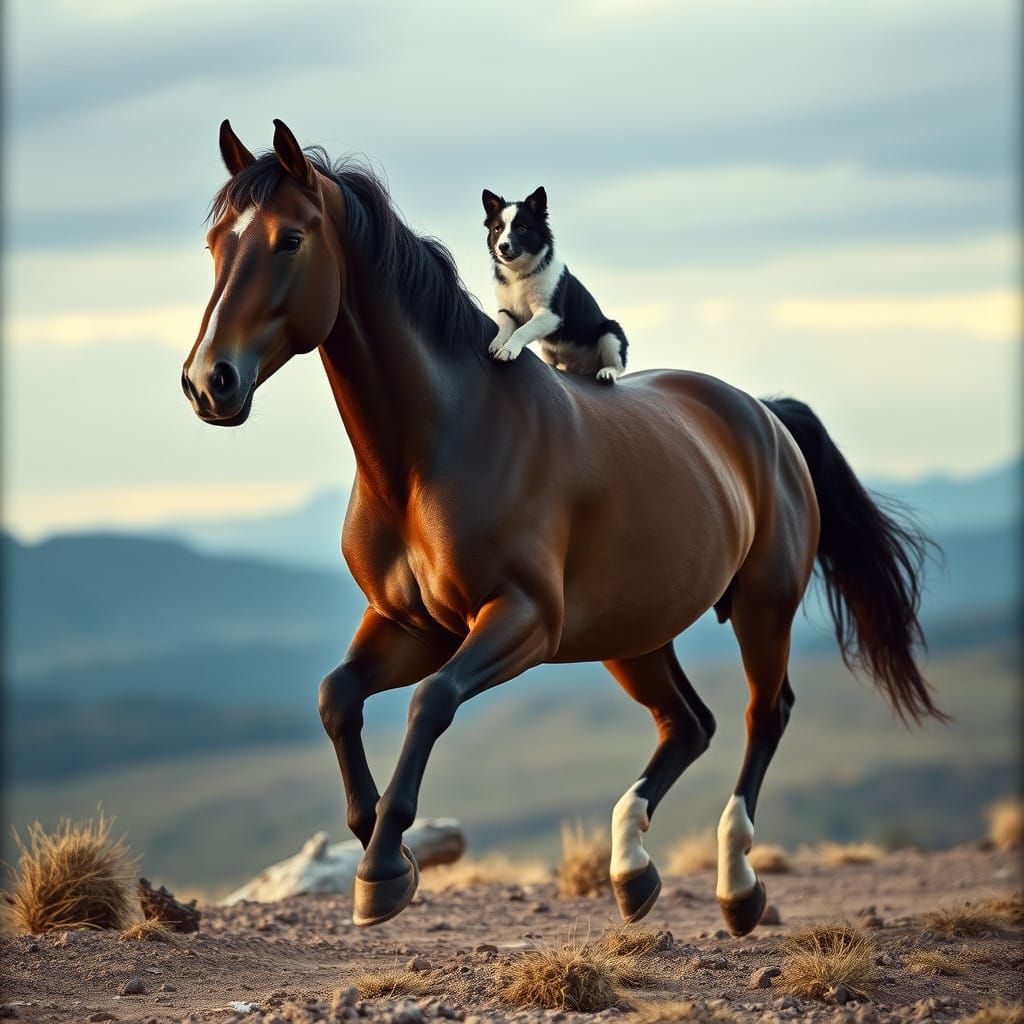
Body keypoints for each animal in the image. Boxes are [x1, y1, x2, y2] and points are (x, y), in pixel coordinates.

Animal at [182, 119, 944, 931]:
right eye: (215, 243)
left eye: (290, 239)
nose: (208, 382)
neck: (439, 444)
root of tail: (764, 413)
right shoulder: (411, 625)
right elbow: (336, 697)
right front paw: (380, 846)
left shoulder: (522, 619)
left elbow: (431, 702)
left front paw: (384, 869)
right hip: (634, 633)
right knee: (688, 724)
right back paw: (631, 871)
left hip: (762, 607)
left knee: (762, 716)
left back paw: (738, 888)